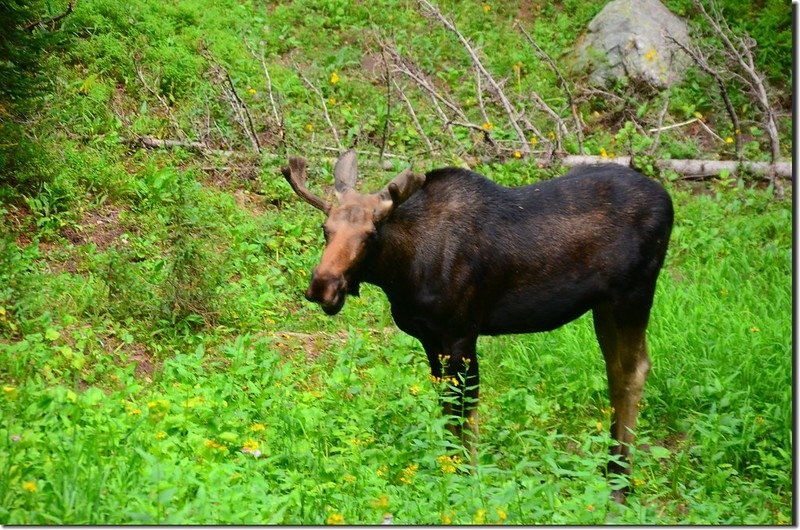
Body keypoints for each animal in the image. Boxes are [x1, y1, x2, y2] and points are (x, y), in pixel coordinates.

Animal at [284, 150, 672, 500]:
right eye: (326, 229)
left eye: (370, 234)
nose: (323, 285)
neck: (402, 272)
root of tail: (669, 202)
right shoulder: (429, 337)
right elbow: (446, 406)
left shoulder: (461, 331)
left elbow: (464, 407)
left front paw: (465, 479)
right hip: (603, 305)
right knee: (618, 369)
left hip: (633, 295)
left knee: (632, 370)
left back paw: (620, 483)